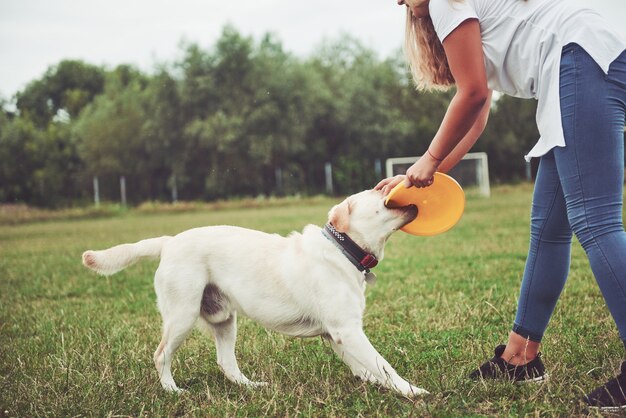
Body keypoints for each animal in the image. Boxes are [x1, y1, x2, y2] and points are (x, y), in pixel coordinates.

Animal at [81, 189, 424, 396]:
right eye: (378, 192)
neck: (343, 249)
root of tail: (169, 241)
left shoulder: (337, 334)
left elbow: (367, 367)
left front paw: (379, 385)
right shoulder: (347, 331)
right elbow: (383, 365)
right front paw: (411, 392)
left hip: (223, 319)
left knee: (226, 363)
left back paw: (251, 386)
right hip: (182, 315)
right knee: (161, 354)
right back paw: (172, 390)